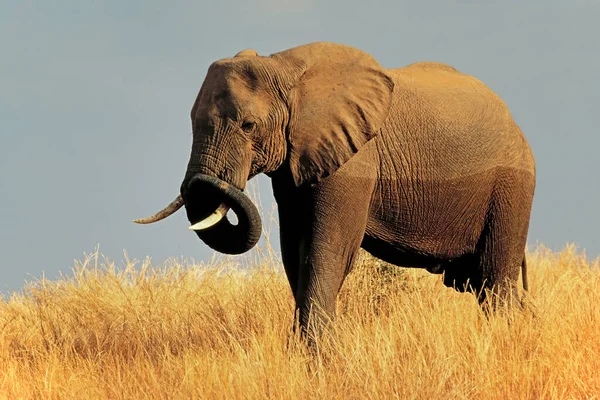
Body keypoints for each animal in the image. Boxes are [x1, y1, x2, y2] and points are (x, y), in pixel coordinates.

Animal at [135, 40, 536, 340]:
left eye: (249, 126)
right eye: (191, 121)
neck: (282, 66)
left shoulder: (353, 161)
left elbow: (327, 249)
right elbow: (294, 252)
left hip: (512, 186)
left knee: (495, 280)